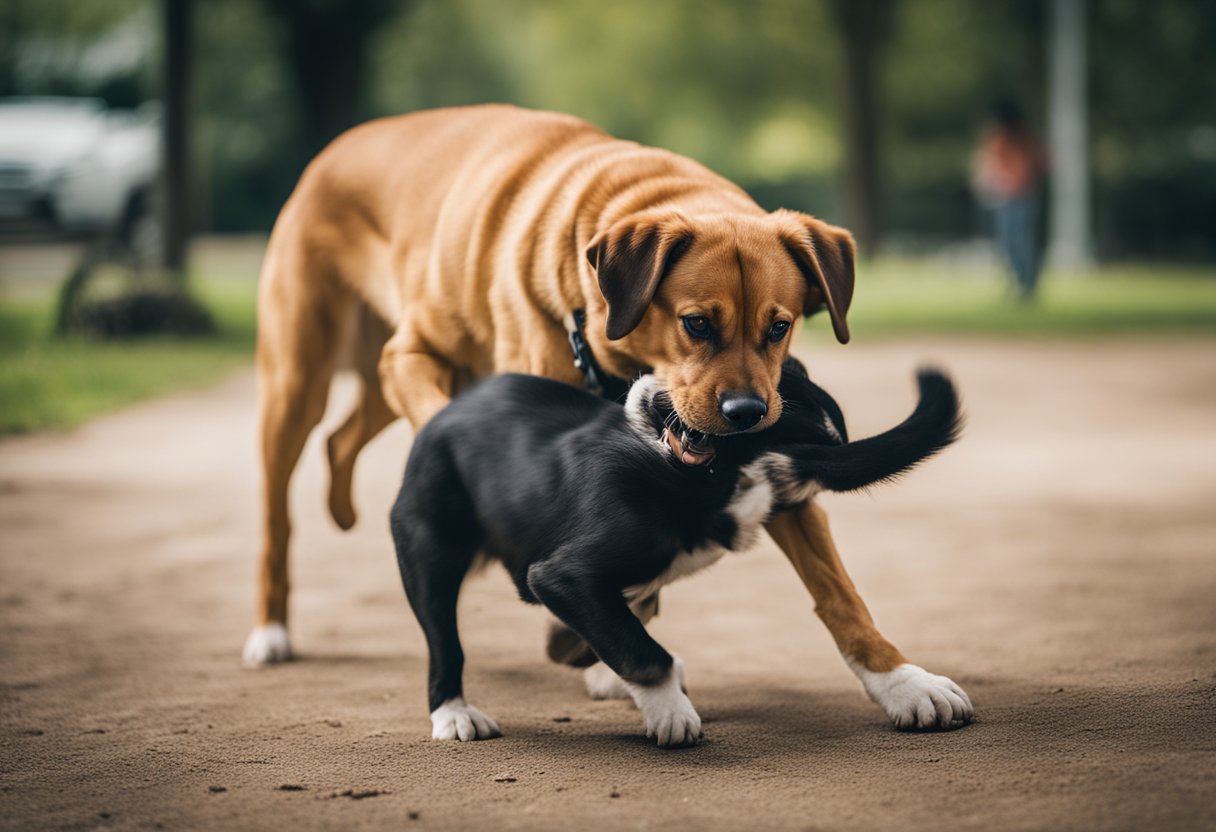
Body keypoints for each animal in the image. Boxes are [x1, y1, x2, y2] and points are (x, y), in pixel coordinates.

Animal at [389, 357, 958, 749]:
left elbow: (629, 639)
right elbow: (642, 650)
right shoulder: (561, 576)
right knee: (446, 642)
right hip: (427, 545)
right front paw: (670, 713)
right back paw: (455, 714)